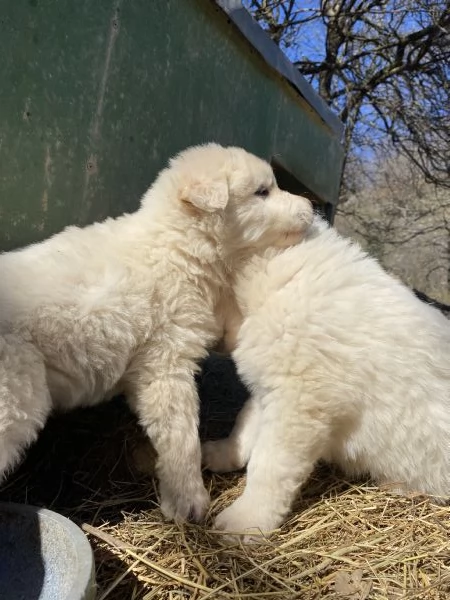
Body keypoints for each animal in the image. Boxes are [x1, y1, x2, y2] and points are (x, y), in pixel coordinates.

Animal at [0, 144, 312, 520]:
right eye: (262, 192)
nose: (311, 207)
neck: (180, 247)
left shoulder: (146, 368)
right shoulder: (168, 361)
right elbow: (182, 436)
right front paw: (189, 501)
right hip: (15, 399)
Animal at [203, 214, 450, 540]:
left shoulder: (299, 404)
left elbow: (270, 465)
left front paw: (246, 520)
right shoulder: (271, 386)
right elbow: (244, 426)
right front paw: (220, 454)